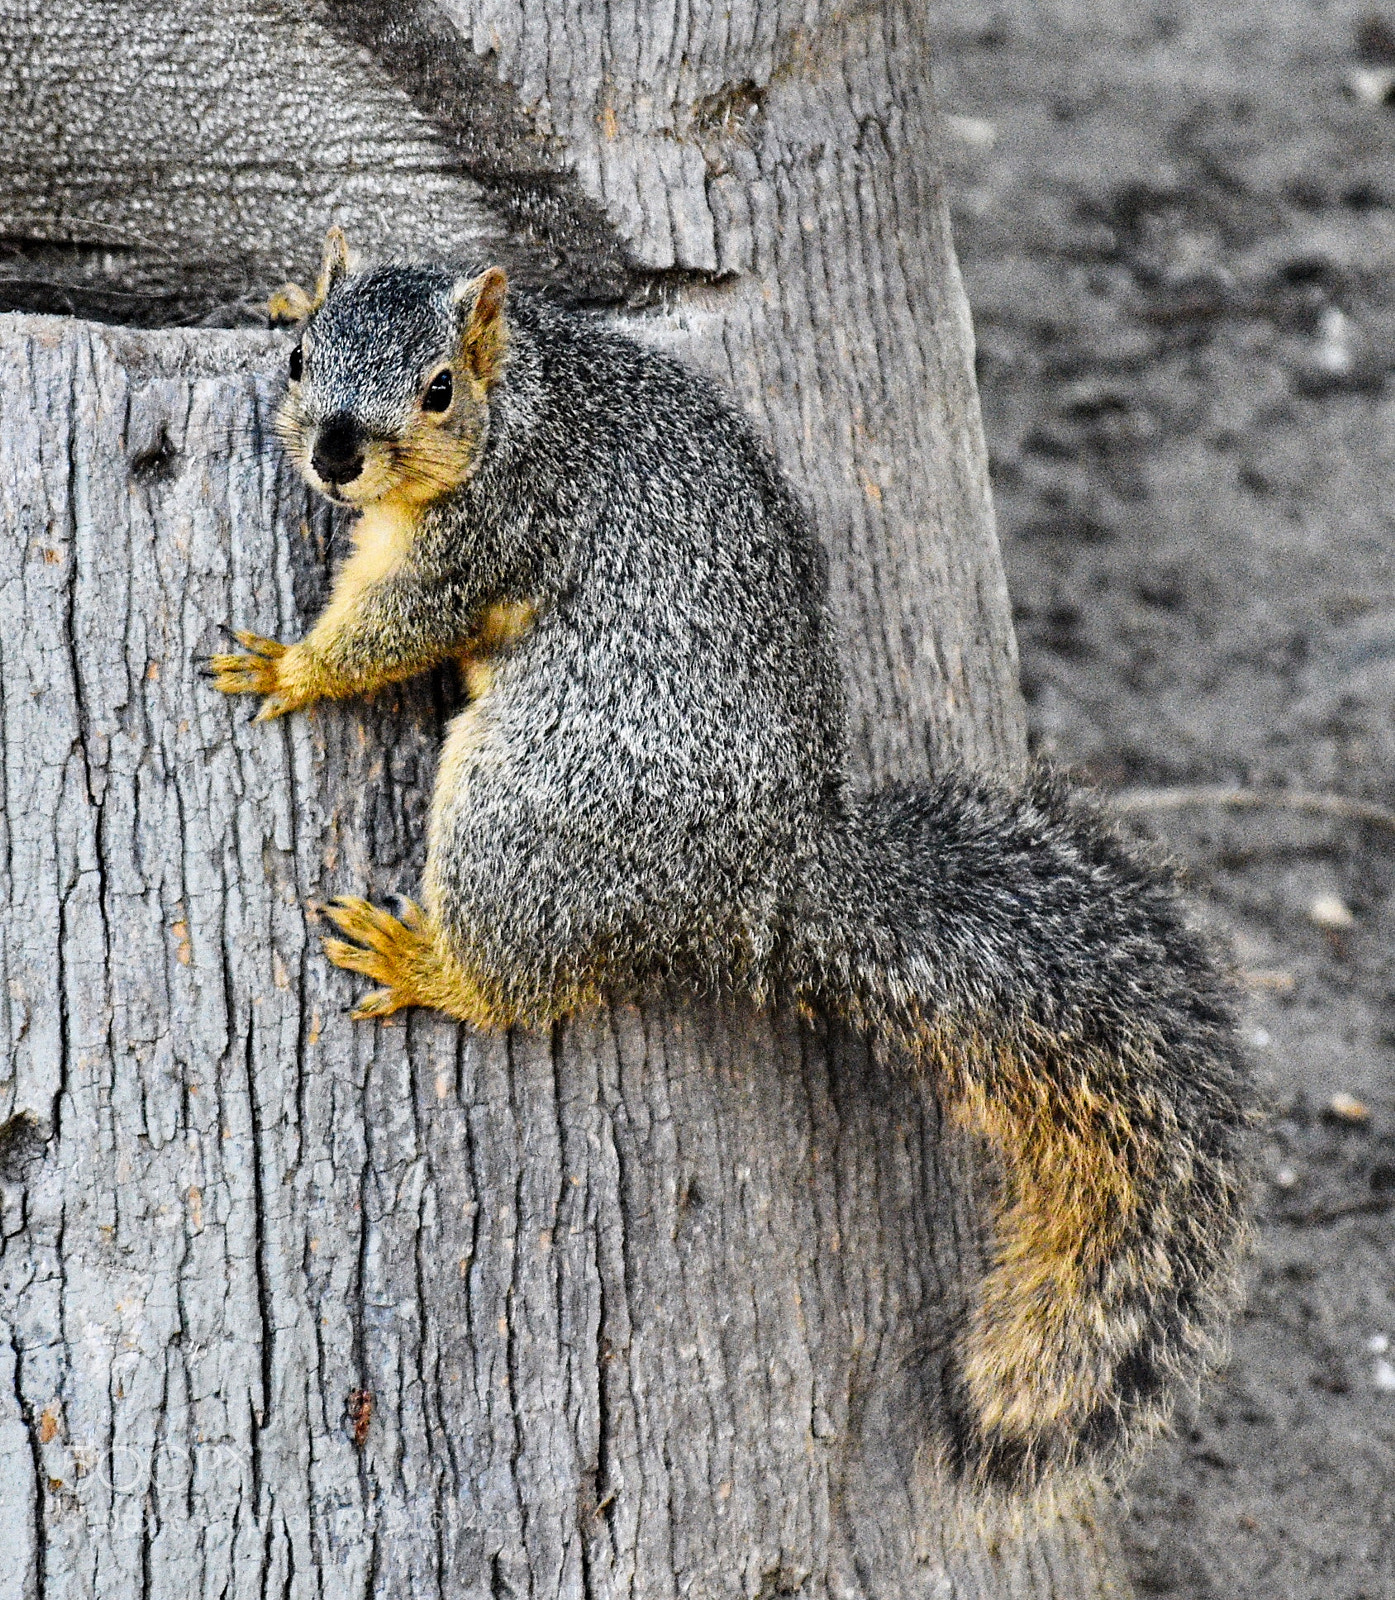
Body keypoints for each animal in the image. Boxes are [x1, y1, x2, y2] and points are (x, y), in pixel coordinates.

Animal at [211, 227, 1255, 1490]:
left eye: (438, 390)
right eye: (303, 356)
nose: (334, 455)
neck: (529, 395)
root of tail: (765, 878)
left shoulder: (488, 532)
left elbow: (396, 626)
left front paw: (293, 668)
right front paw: (281, 285)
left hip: (528, 810)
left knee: (526, 984)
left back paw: (431, 964)